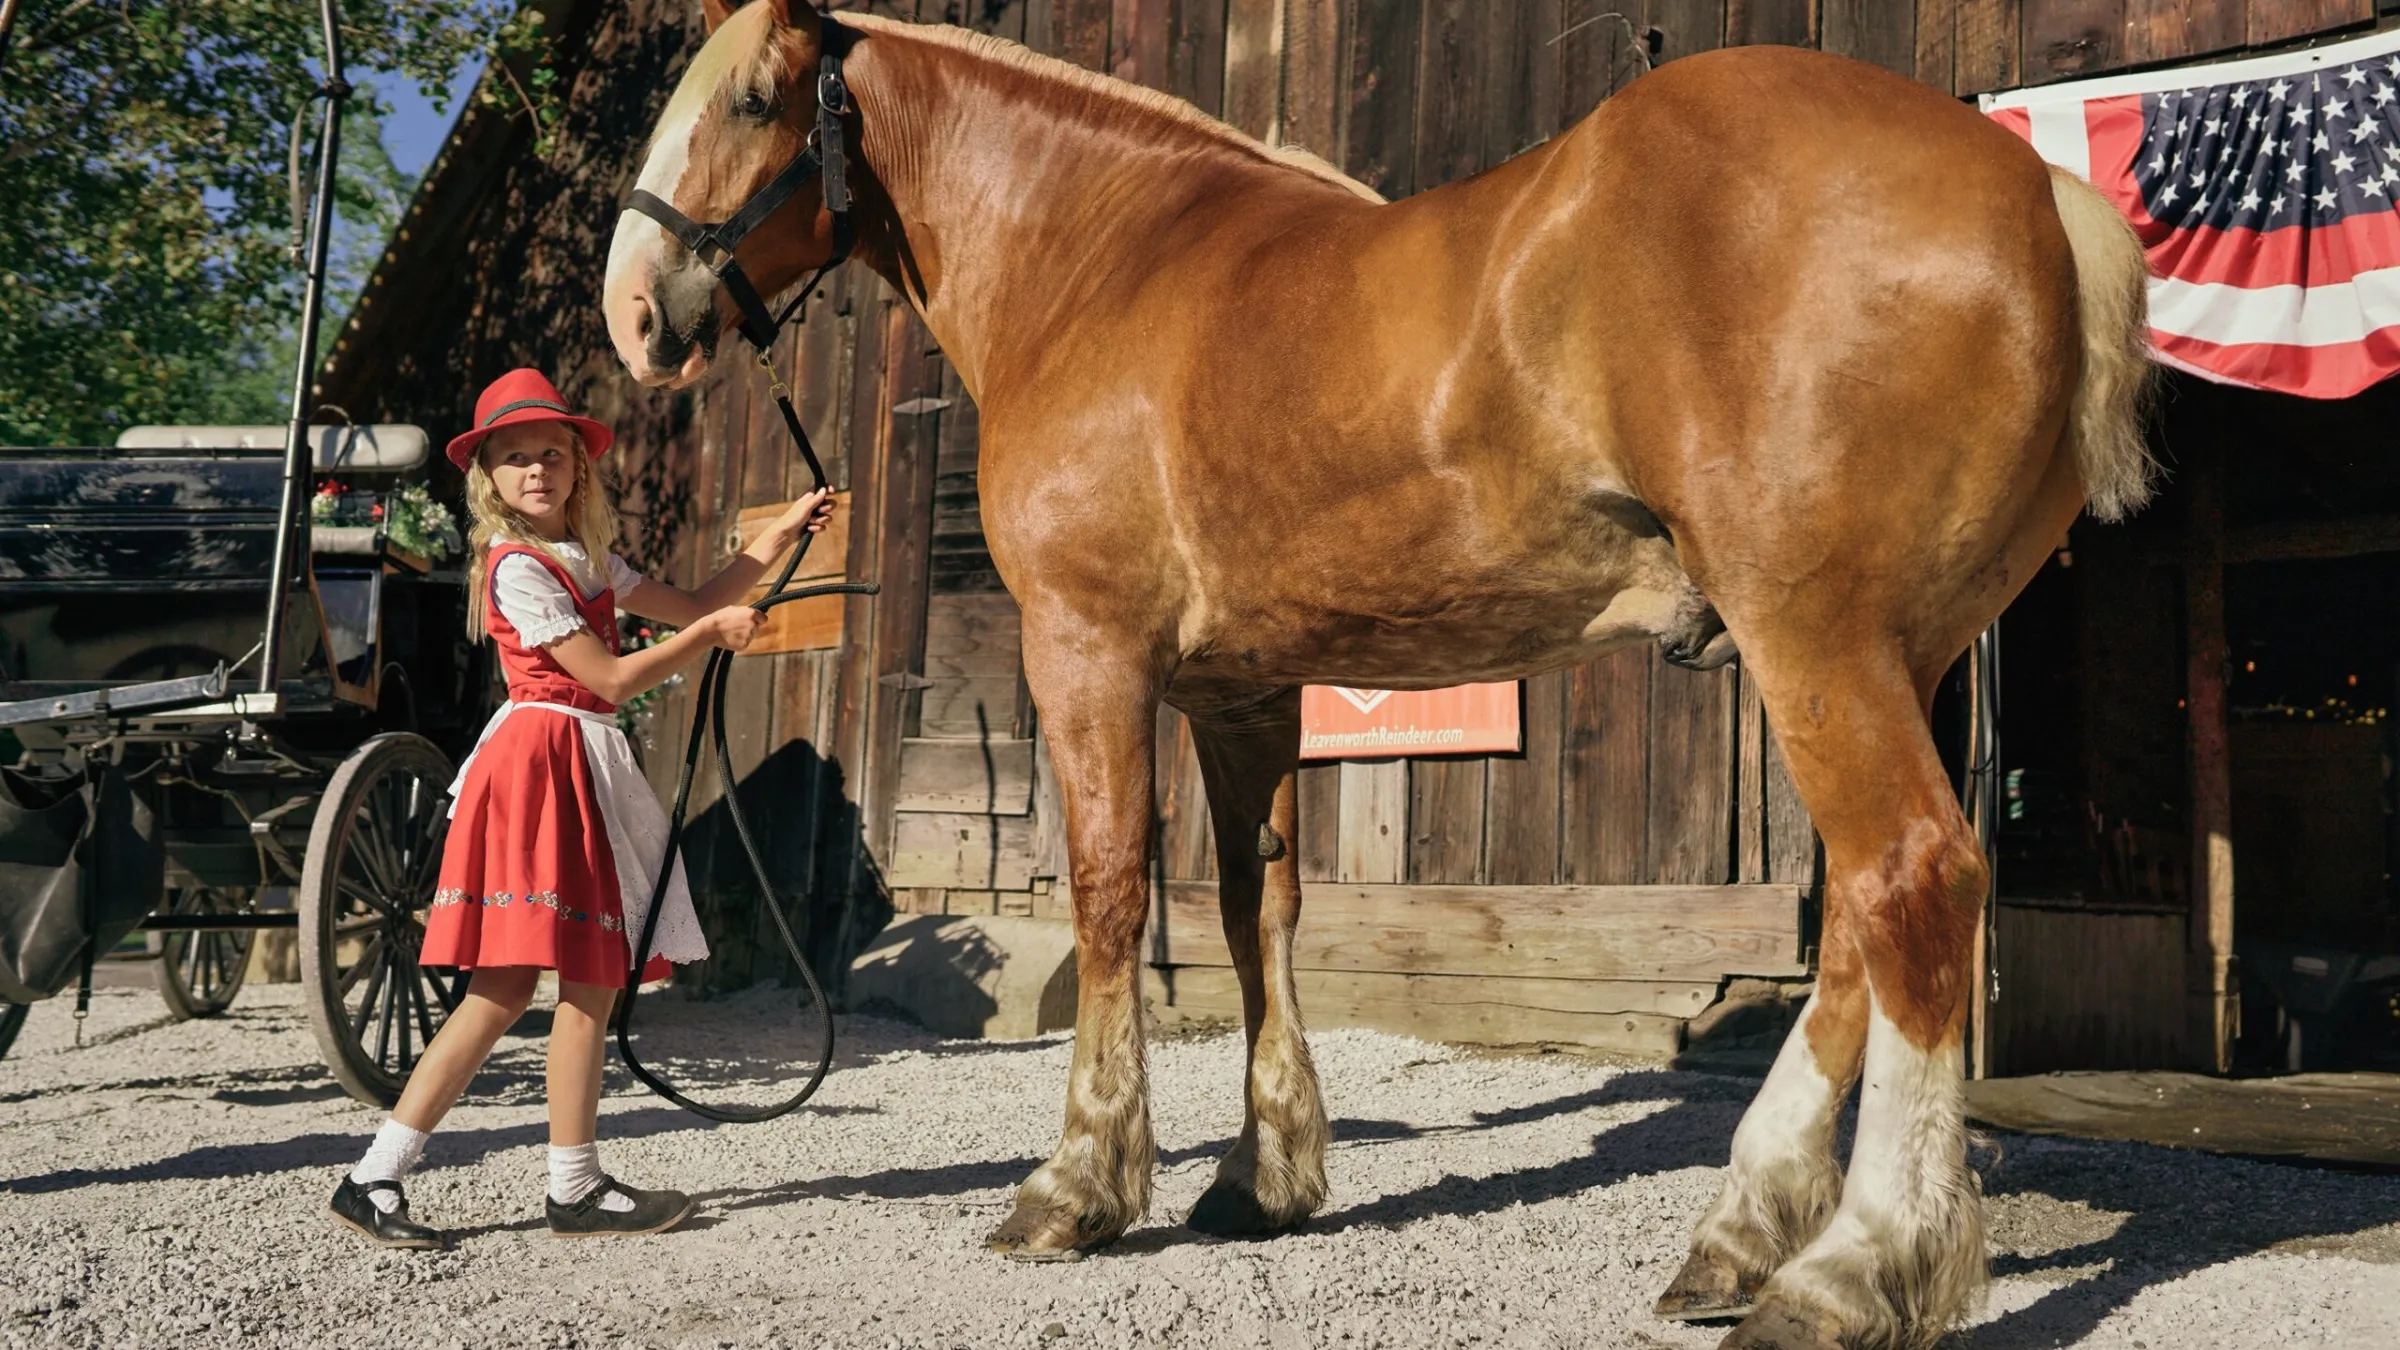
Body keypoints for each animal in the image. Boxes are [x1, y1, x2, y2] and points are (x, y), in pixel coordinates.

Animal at [602, 5, 2153, 1347]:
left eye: (753, 101)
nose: (632, 316)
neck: (1105, 262)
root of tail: (2032, 192)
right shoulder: (1243, 691)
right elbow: (1259, 909)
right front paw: (1264, 1173)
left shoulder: (1087, 649)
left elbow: (1110, 893)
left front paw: (1080, 1186)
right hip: (1900, 651)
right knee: (1858, 931)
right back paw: (1738, 1233)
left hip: (1812, 633)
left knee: (1910, 881)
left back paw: (1853, 1270)